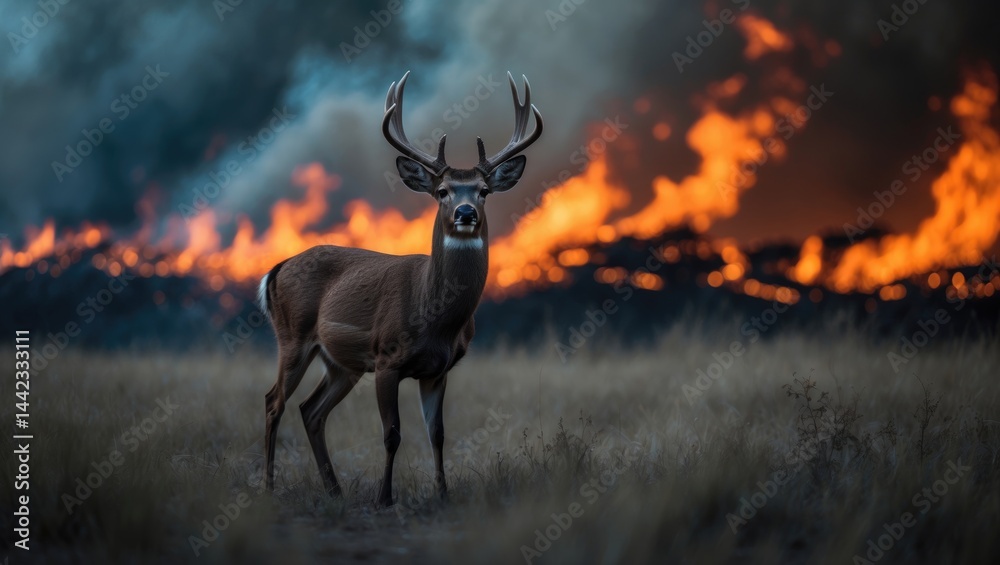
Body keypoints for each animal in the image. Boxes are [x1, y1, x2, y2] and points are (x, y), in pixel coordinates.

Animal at [257, 71, 542, 507]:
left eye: (483, 190)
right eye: (442, 191)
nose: (465, 213)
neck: (436, 317)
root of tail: (276, 268)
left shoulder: (439, 369)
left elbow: (437, 434)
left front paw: (443, 494)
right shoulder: (387, 359)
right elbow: (392, 434)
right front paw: (384, 497)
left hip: (341, 362)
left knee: (311, 410)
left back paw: (334, 489)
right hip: (293, 336)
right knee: (274, 401)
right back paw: (270, 486)